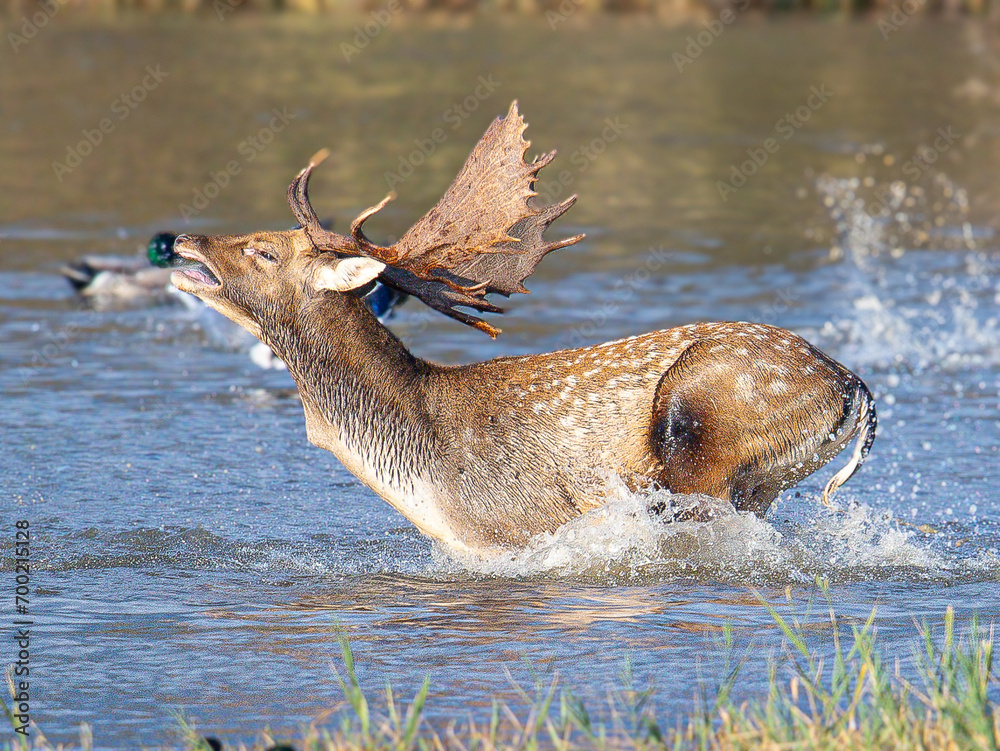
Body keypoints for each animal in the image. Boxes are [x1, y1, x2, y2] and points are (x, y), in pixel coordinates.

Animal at [170, 102, 877, 554]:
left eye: (264, 250)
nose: (185, 238)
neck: (420, 471)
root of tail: (851, 385)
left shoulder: (518, 528)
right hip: (762, 479)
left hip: (703, 444)